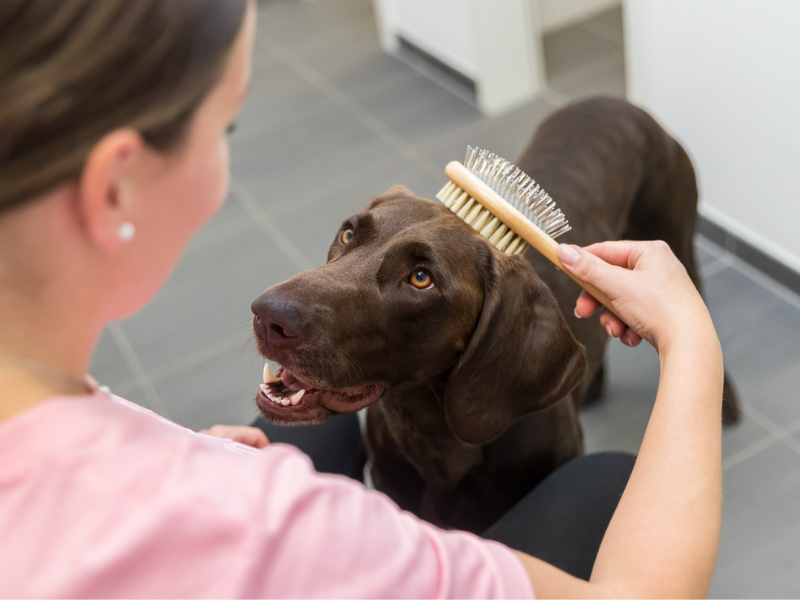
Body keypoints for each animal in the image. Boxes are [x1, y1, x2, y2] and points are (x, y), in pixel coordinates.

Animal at [253, 98, 740, 536]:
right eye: (348, 233)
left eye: (421, 278)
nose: (267, 314)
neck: (434, 436)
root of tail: (617, 101)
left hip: (674, 248)